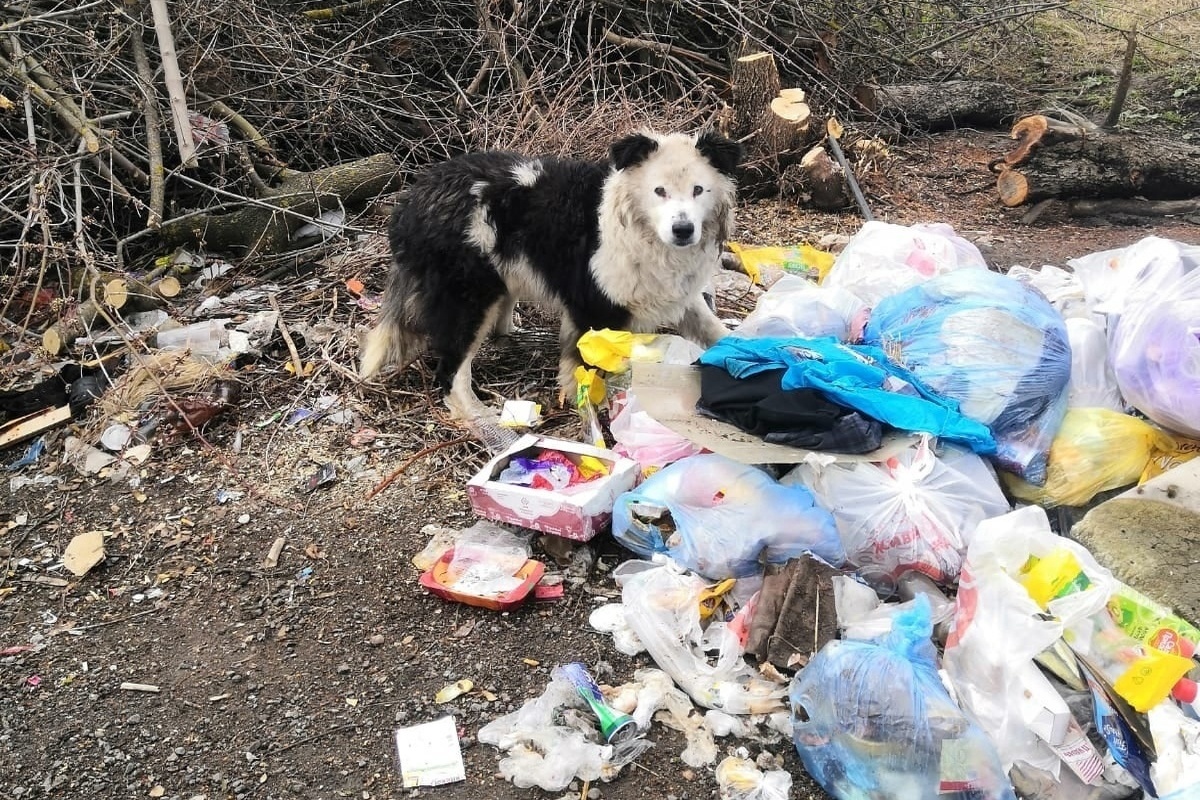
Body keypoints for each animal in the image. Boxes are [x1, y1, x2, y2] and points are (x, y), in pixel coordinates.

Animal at [355, 130, 739, 419]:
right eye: (659, 191)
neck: (637, 228)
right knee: (450, 371)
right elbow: (585, 370)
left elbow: (715, 331)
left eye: (699, 190)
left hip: (501, 279)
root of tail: (412, 199)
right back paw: (480, 418)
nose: (683, 230)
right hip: (469, 296)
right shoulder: (594, 306)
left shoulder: (676, 295)